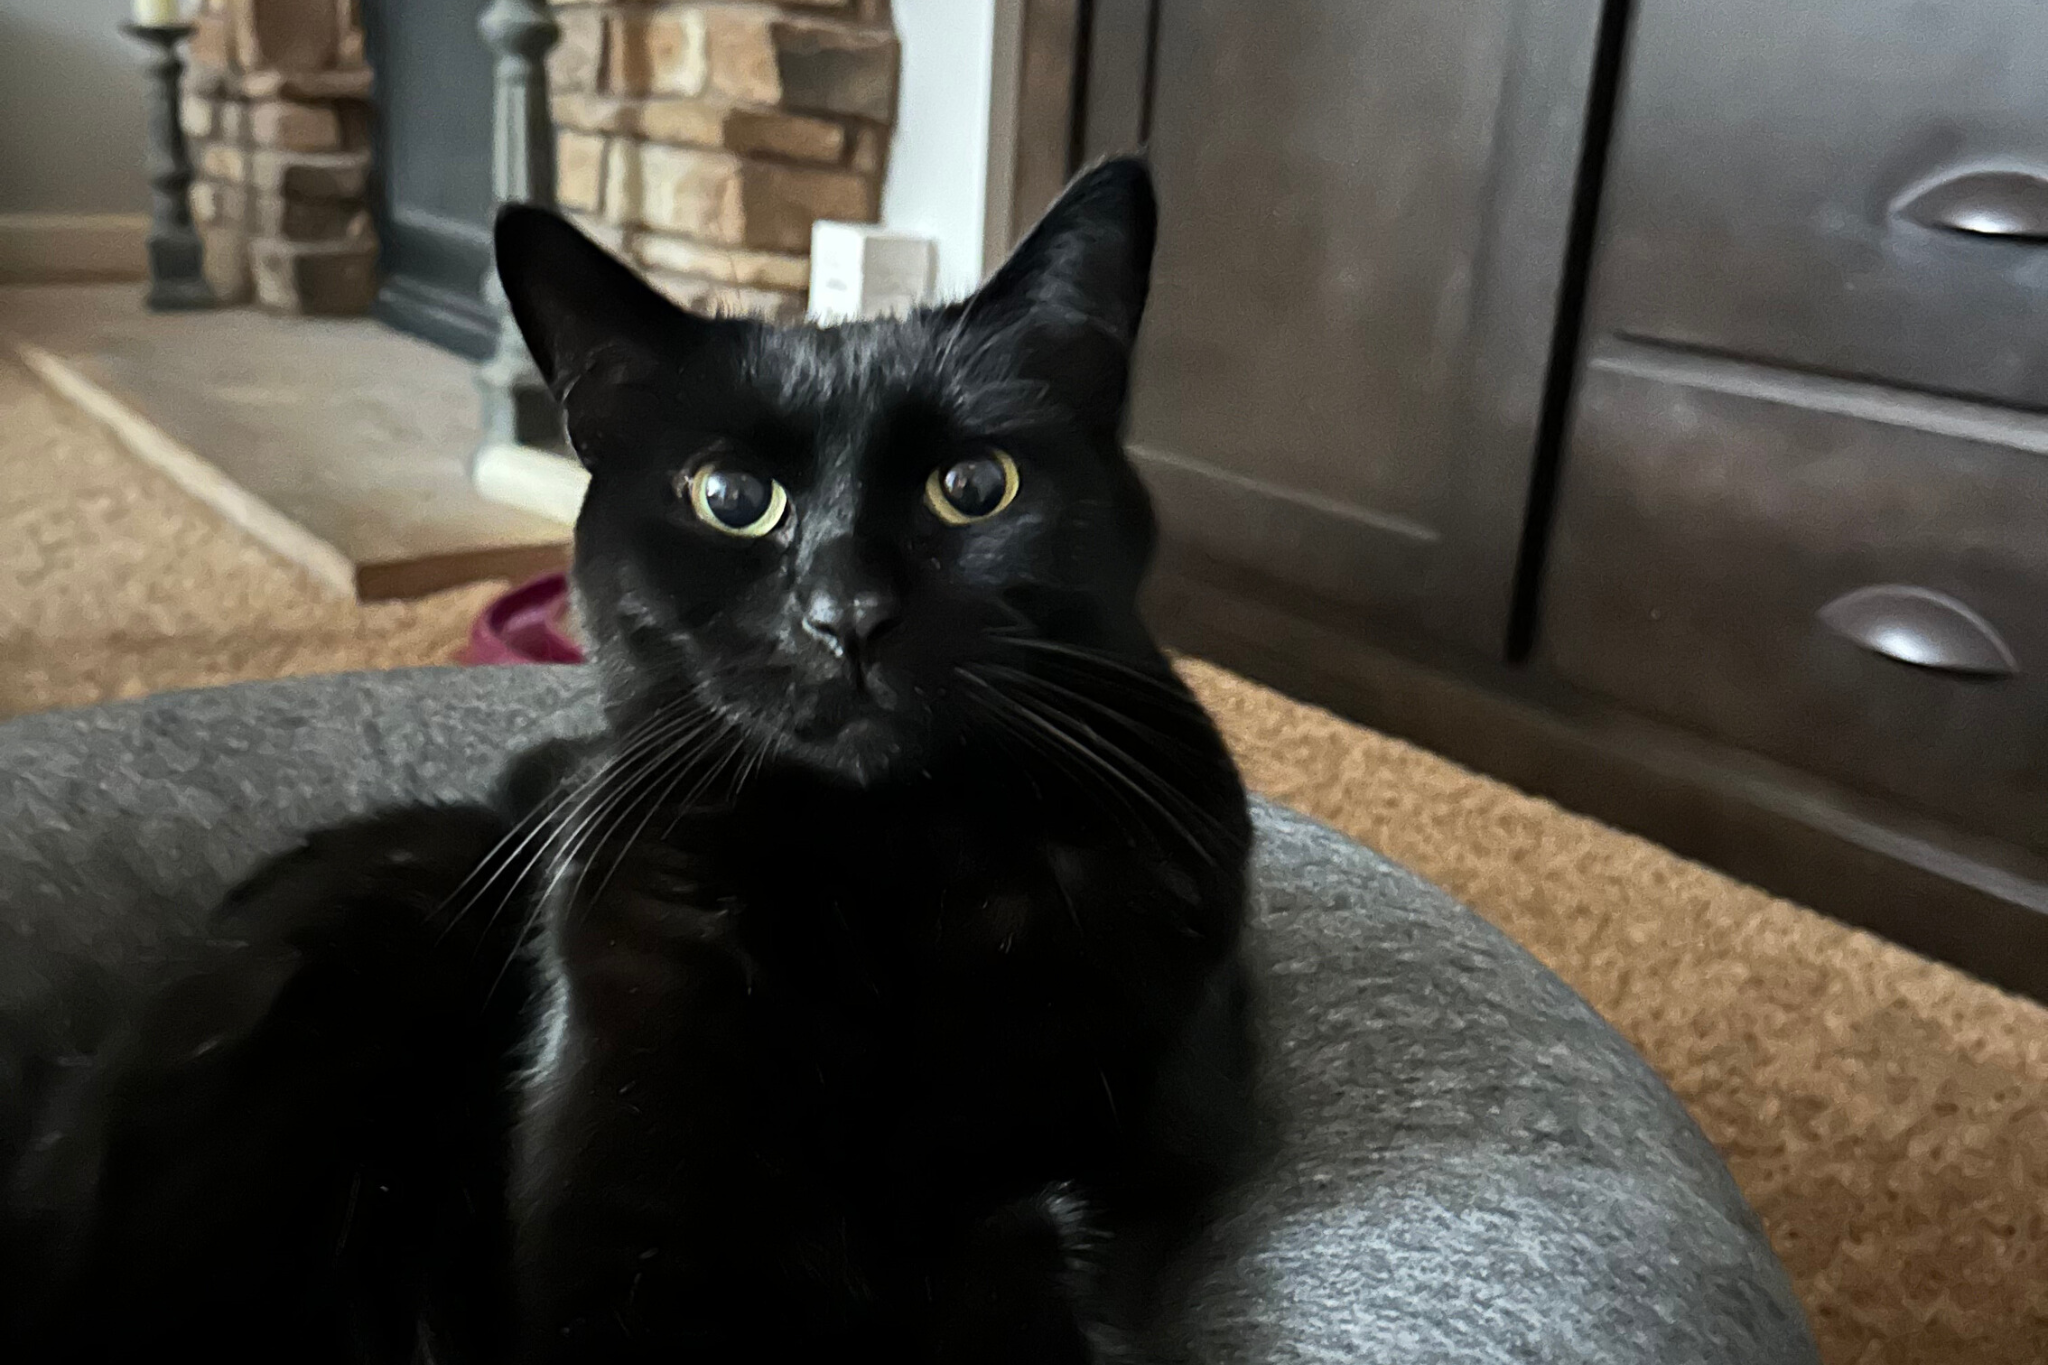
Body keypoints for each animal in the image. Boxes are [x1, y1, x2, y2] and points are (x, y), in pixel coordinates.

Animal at [2, 157, 1256, 1364]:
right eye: (732, 499)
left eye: (975, 486)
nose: (845, 616)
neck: (879, 868)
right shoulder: (628, 1223)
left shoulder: (1057, 1215)